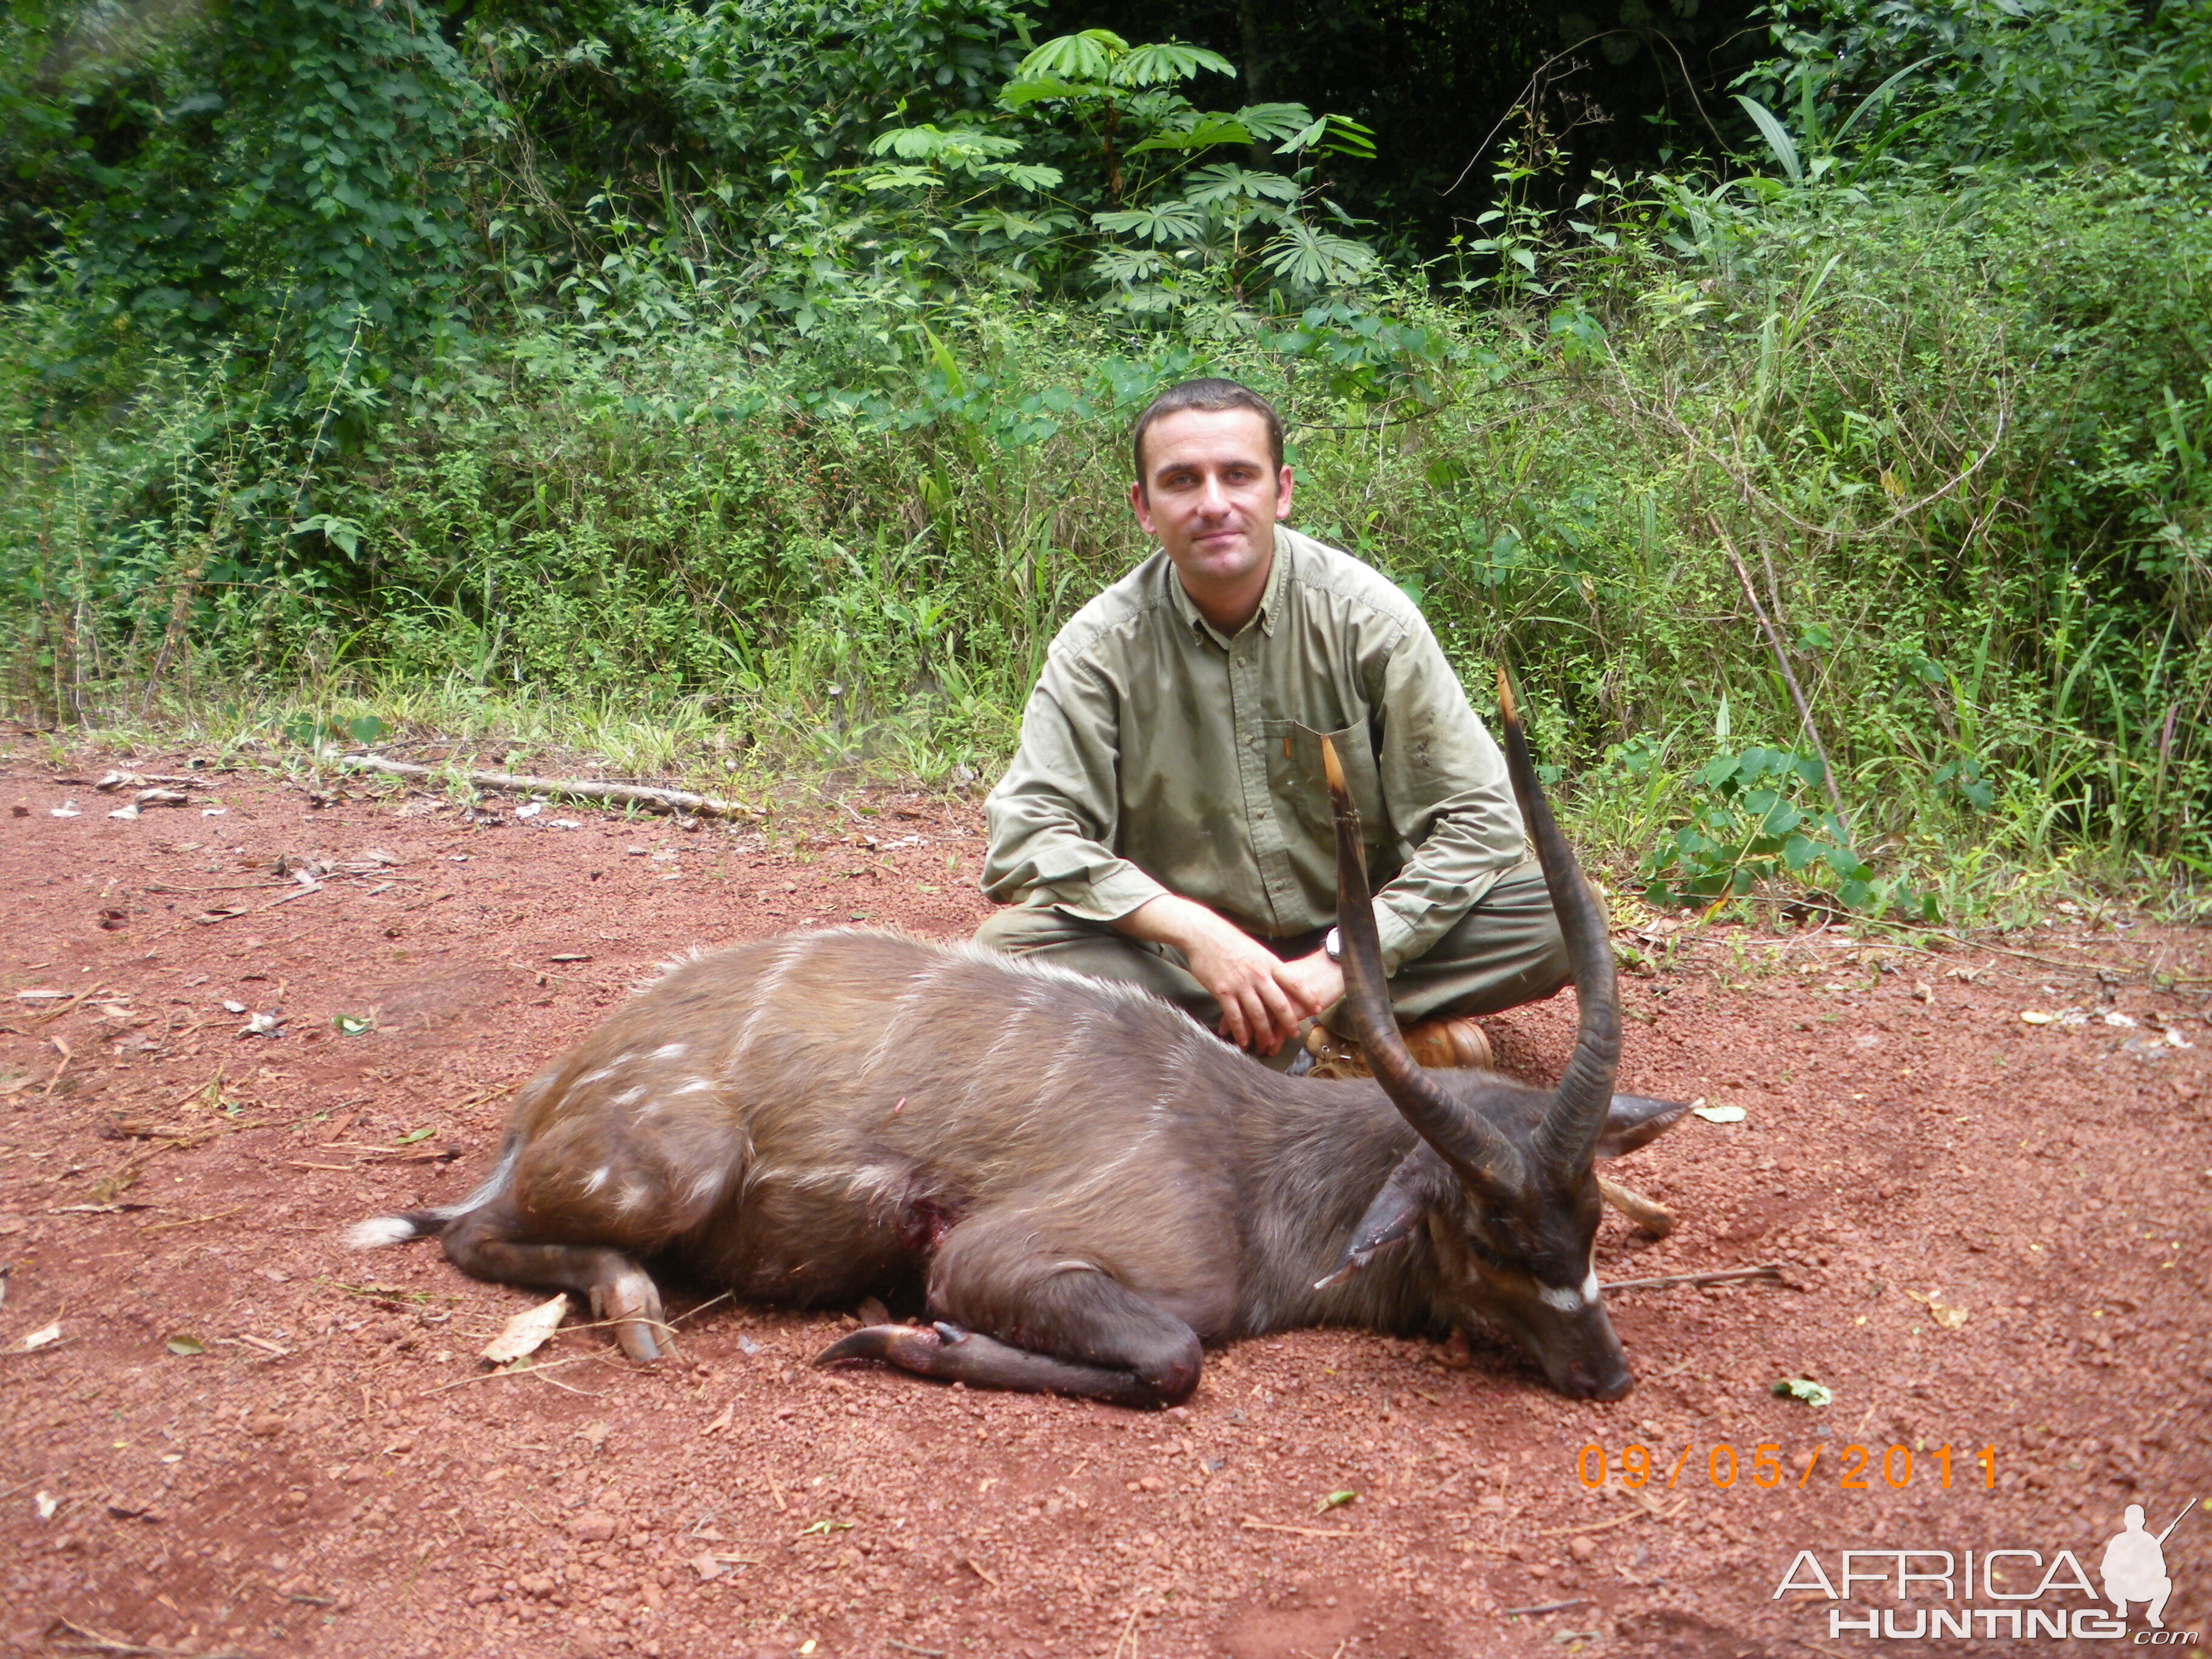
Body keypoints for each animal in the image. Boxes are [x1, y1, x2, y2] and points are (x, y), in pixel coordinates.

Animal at [354, 668, 1681, 1407]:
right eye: (1494, 1236)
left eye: (1589, 1221)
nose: (1608, 1375)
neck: (1262, 1172)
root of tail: (545, 1097)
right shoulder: (1007, 1258)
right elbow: (1172, 1358)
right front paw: (895, 1336)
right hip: (679, 1161)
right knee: (467, 1234)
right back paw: (634, 1309)